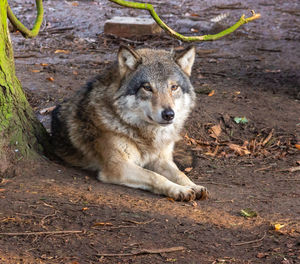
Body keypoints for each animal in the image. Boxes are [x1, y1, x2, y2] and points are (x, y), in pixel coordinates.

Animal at [50, 45, 207, 201]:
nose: (168, 114)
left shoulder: (161, 160)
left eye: (174, 87)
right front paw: (179, 190)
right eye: (147, 88)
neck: (147, 135)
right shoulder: (118, 166)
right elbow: (155, 176)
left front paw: (193, 186)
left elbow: (180, 174)